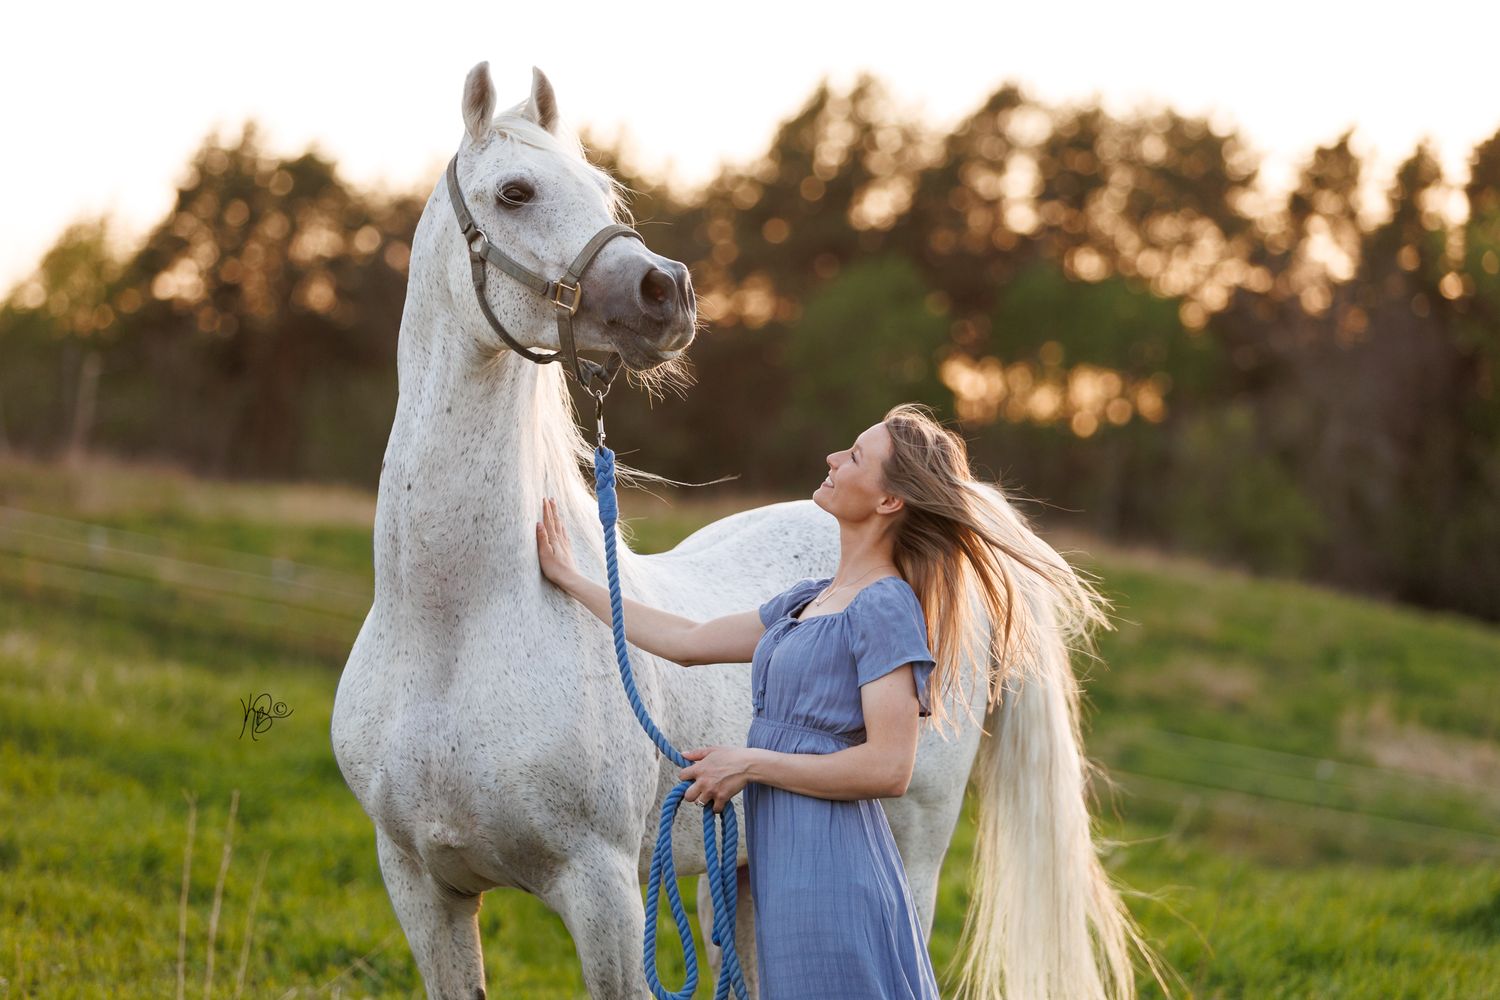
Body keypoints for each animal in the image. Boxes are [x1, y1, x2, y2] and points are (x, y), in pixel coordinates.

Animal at [331, 61, 1148, 1000]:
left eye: (607, 191)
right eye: (515, 192)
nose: (667, 292)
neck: (454, 627)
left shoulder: (604, 889)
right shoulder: (420, 886)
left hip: (910, 849)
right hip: (751, 877)